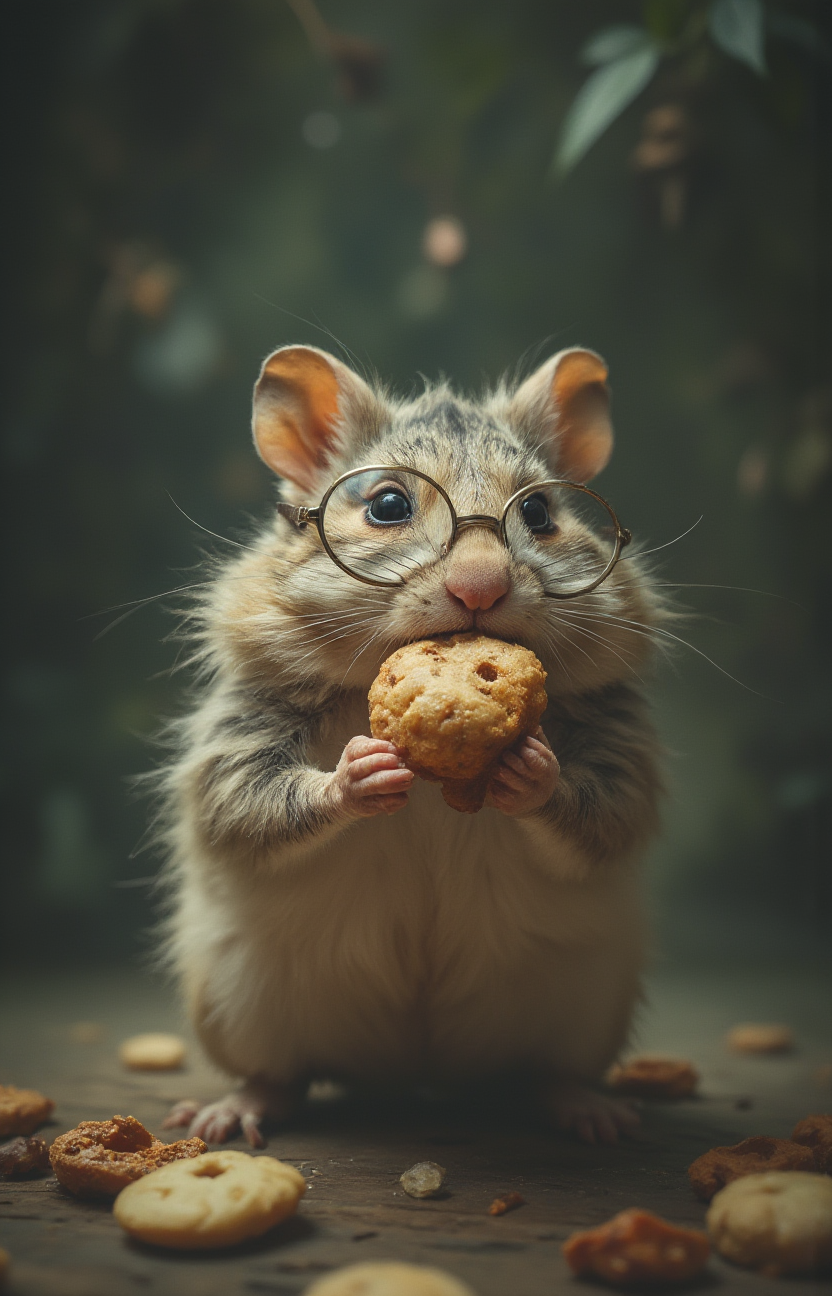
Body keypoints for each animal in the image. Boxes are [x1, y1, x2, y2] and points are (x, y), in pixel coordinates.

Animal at [158, 344, 663, 1149]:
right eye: (387, 506)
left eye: (540, 513)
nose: (481, 588)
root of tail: (416, 1071)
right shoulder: (239, 735)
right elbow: (246, 804)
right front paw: (359, 773)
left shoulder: (623, 746)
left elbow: (607, 811)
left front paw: (530, 771)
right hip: (240, 1005)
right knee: (280, 1074)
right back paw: (232, 1111)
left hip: (587, 1008)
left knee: (548, 1070)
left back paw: (592, 1111)